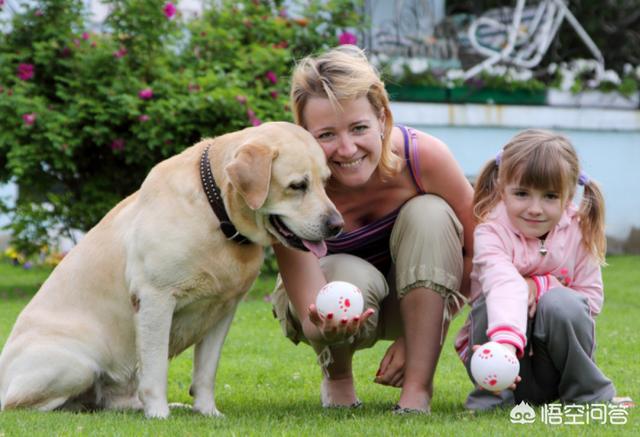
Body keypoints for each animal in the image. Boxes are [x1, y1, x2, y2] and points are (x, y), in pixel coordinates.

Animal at [0, 121, 340, 418]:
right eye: (297, 186)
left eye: (325, 182)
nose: (337, 224)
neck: (216, 213)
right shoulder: (154, 299)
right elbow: (154, 368)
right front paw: (159, 414)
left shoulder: (224, 310)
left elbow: (206, 371)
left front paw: (207, 411)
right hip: (76, 364)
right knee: (19, 404)